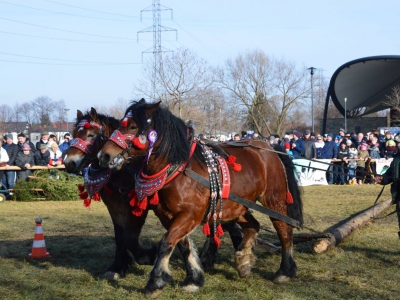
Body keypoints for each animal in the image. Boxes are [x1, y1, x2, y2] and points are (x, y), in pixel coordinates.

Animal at [99, 99, 304, 296]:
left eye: (133, 127)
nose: (104, 155)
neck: (179, 169)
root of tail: (269, 148)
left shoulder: (191, 214)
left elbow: (166, 243)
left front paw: (156, 281)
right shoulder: (168, 215)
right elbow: (182, 245)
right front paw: (194, 278)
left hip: (273, 200)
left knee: (284, 229)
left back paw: (285, 271)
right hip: (235, 206)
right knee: (253, 225)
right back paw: (244, 261)